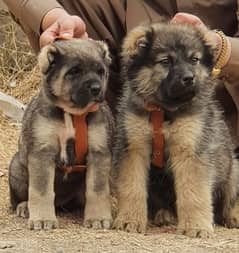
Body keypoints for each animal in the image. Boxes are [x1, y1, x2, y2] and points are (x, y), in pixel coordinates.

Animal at [8, 38, 113, 230]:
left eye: (100, 71)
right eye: (74, 71)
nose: (96, 89)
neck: (72, 114)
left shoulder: (99, 153)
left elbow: (97, 190)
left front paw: (98, 217)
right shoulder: (42, 152)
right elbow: (41, 191)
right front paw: (43, 219)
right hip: (17, 168)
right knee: (21, 197)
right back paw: (25, 206)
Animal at [113, 22, 239, 238]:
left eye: (194, 59)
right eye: (165, 61)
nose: (189, 78)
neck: (163, 111)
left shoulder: (190, 151)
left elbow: (194, 193)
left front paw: (196, 226)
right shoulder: (134, 149)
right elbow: (132, 187)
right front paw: (129, 219)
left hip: (234, 169)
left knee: (230, 199)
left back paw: (234, 216)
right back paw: (165, 215)